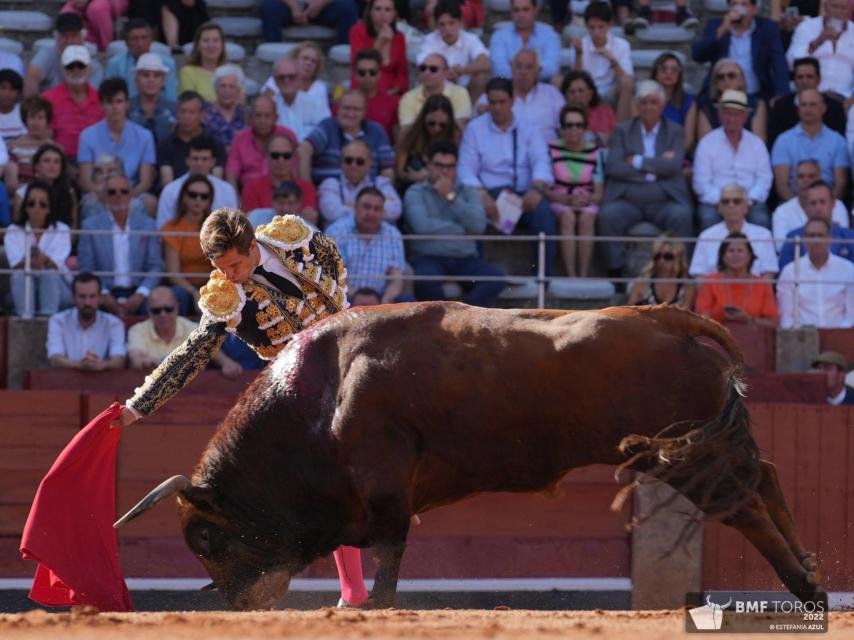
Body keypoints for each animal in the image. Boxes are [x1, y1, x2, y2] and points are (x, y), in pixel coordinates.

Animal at [117, 304, 824, 608]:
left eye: (207, 538)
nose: (240, 604)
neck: (318, 398)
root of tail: (668, 318)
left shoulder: (385, 492)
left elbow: (389, 559)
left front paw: (372, 608)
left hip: (684, 458)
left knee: (745, 507)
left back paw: (806, 587)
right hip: (703, 449)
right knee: (764, 476)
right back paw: (812, 573)